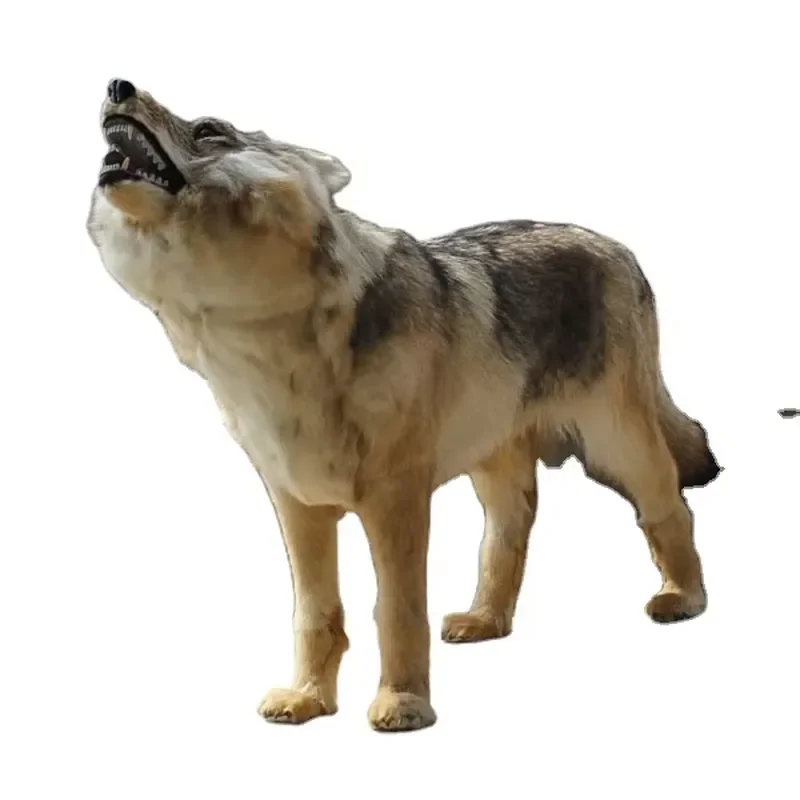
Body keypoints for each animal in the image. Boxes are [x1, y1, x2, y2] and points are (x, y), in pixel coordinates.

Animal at [87, 78, 720, 732]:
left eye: (209, 130)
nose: (117, 85)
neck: (266, 334)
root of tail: (614, 245)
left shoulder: (395, 501)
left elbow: (396, 610)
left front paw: (403, 705)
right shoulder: (297, 503)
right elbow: (315, 614)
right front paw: (307, 699)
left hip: (614, 441)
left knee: (669, 507)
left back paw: (682, 599)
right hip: (495, 463)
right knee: (509, 532)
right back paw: (484, 621)